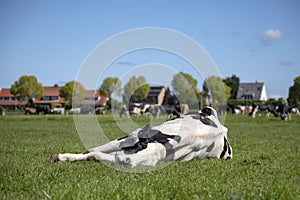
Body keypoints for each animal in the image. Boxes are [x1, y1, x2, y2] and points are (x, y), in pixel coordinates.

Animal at [48, 106, 232, 167]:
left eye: (147, 163)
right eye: (141, 146)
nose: (127, 162)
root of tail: (223, 128)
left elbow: (94, 153)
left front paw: (62, 157)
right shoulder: (124, 142)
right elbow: (93, 151)